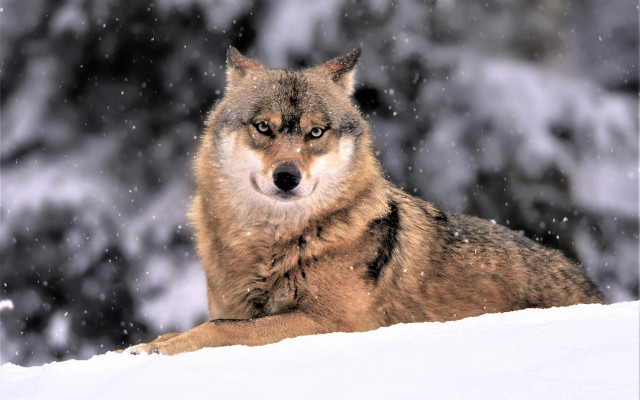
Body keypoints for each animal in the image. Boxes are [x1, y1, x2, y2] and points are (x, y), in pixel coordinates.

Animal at [127, 47, 603, 355]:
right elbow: (201, 325)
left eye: (315, 132)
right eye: (264, 127)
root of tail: (593, 290)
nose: (287, 177)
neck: (271, 244)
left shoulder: (329, 323)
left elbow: (220, 330)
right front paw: (143, 346)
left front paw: (158, 351)